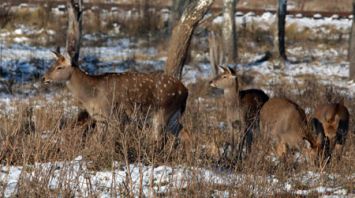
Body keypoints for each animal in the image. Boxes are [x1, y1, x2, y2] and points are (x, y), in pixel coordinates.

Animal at [42, 51, 189, 146]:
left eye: (59, 67)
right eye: (52, 64)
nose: (44, 78)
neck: (91, 96)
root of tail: (185, 90)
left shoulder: (114, 116)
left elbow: (112, 140)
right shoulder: (100, 119)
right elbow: (98, 140)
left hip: (163, 111)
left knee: (161, 137)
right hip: (174, 114)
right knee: (180, 131)